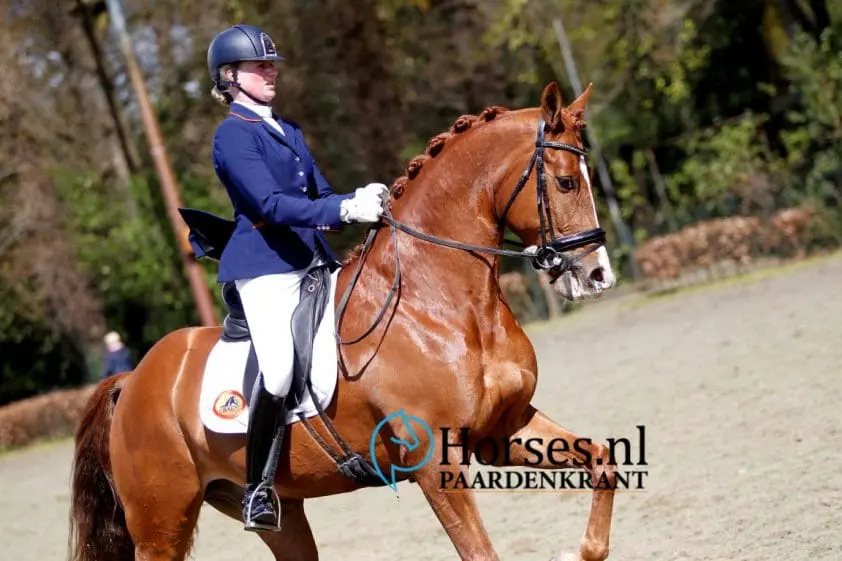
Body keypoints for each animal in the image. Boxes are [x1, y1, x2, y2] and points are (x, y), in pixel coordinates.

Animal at [68, 81, 619, 561]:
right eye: (567, 182)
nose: (598, 275)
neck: (440, 305)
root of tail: (131, 381)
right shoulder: (434, 461)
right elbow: (480, 552)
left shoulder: (502, 431)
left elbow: (602, 462)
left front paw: (579, 551)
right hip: (161, 526)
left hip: (279, 514)